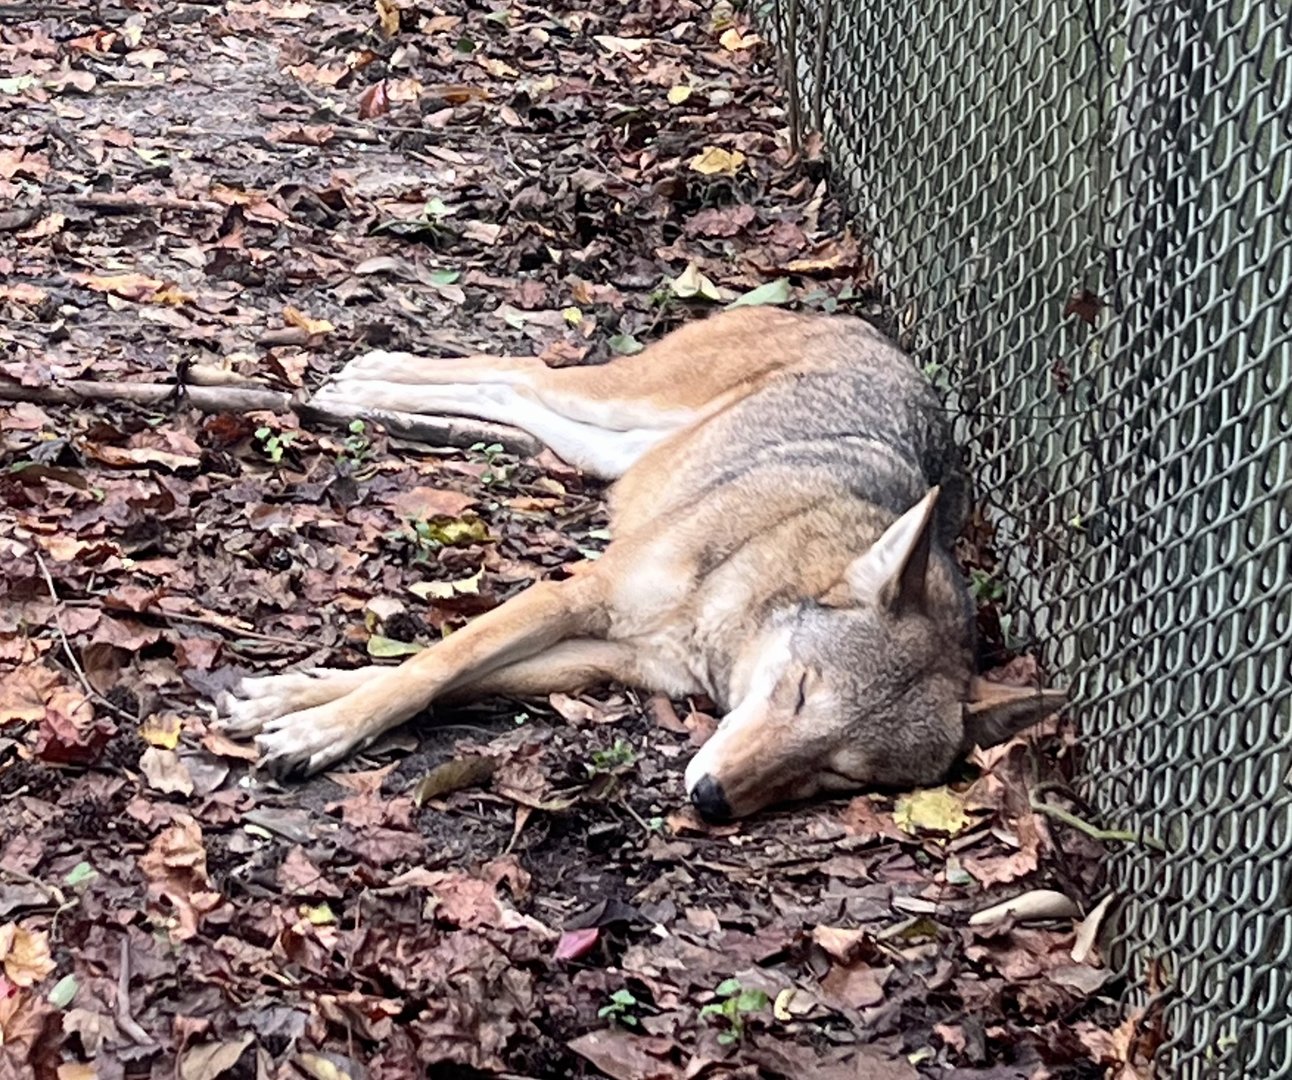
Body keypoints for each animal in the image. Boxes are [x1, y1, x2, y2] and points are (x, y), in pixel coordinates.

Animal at [217, 307, 1063, 820]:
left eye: (841, 775)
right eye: (796, 693)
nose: (714, 799)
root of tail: (865, 325)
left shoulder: (607, 660)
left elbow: (440, 681)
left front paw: (290, 700)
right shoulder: (575, 592)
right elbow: (429, 668)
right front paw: (316, 729)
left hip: (604, 451)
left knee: (521, 399)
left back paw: (368, 394)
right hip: (619, 403)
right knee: (526, 372)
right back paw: (371, 377)